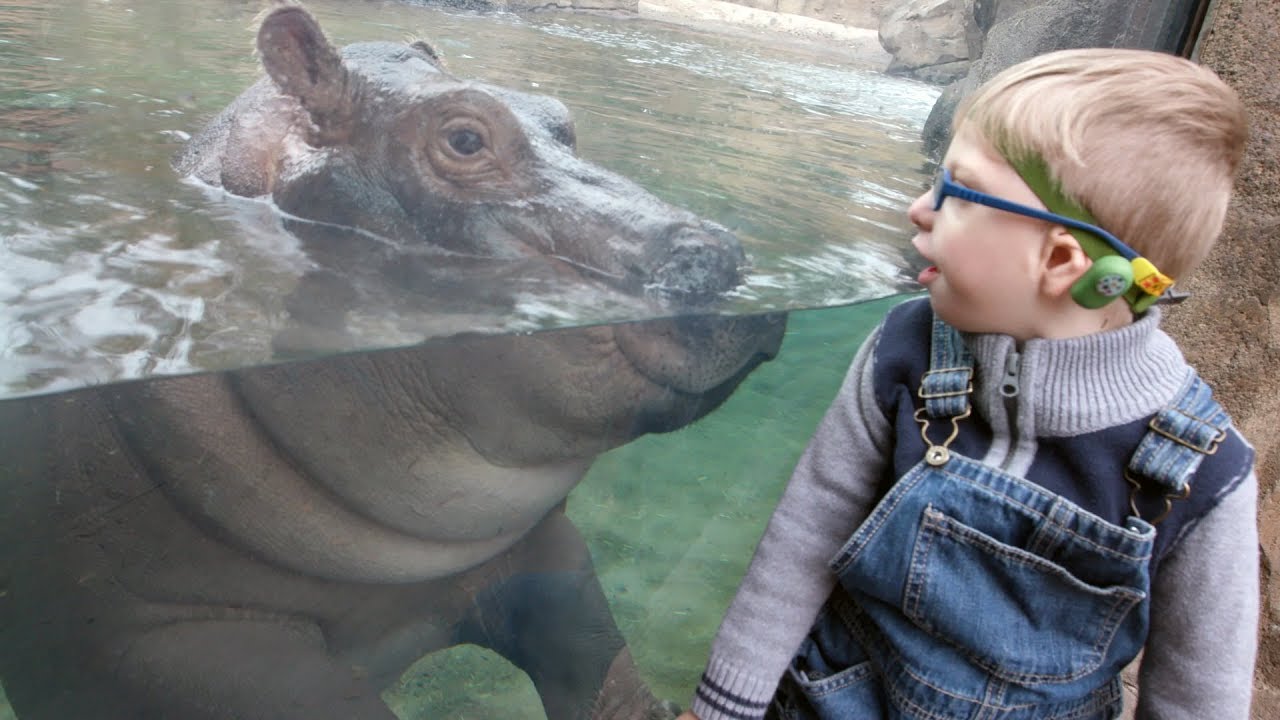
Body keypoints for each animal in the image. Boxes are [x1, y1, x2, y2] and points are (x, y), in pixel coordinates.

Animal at [0, 3, 785, 720]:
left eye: (560, 117)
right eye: (464, 138)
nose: (723, 255)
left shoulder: (543, 555)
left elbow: (596, 660)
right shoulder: (156, 644)